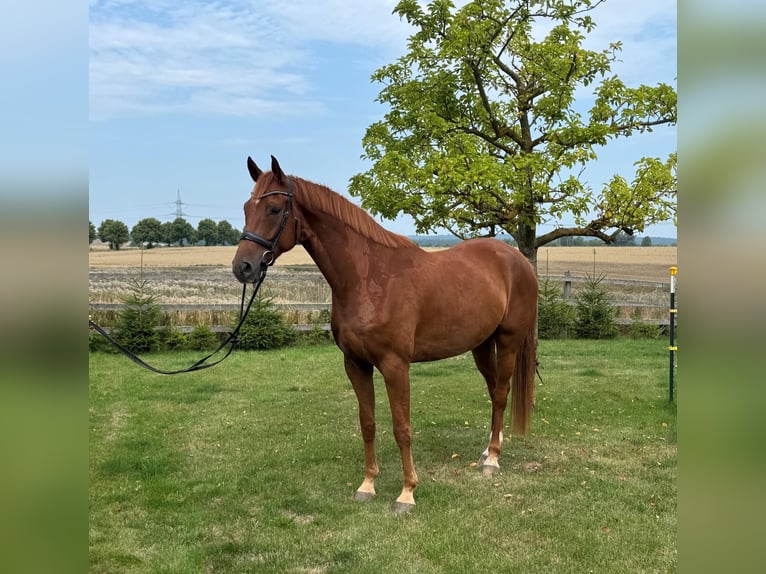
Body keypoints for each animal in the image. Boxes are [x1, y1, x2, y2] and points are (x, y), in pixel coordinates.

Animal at [232, 156, 538, 512]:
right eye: (246, 208)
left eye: (275, 209)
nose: (243, 268)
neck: (369, 278)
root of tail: (517, 260)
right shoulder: (356, 364)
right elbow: (368, 424)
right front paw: (367, 485)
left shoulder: (395, 365)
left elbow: (401, 427)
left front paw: (407, 493)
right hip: (481, 345)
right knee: (494, 391)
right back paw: (489, 449)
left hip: (508, 342)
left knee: (501, 393)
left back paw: (493, 460)